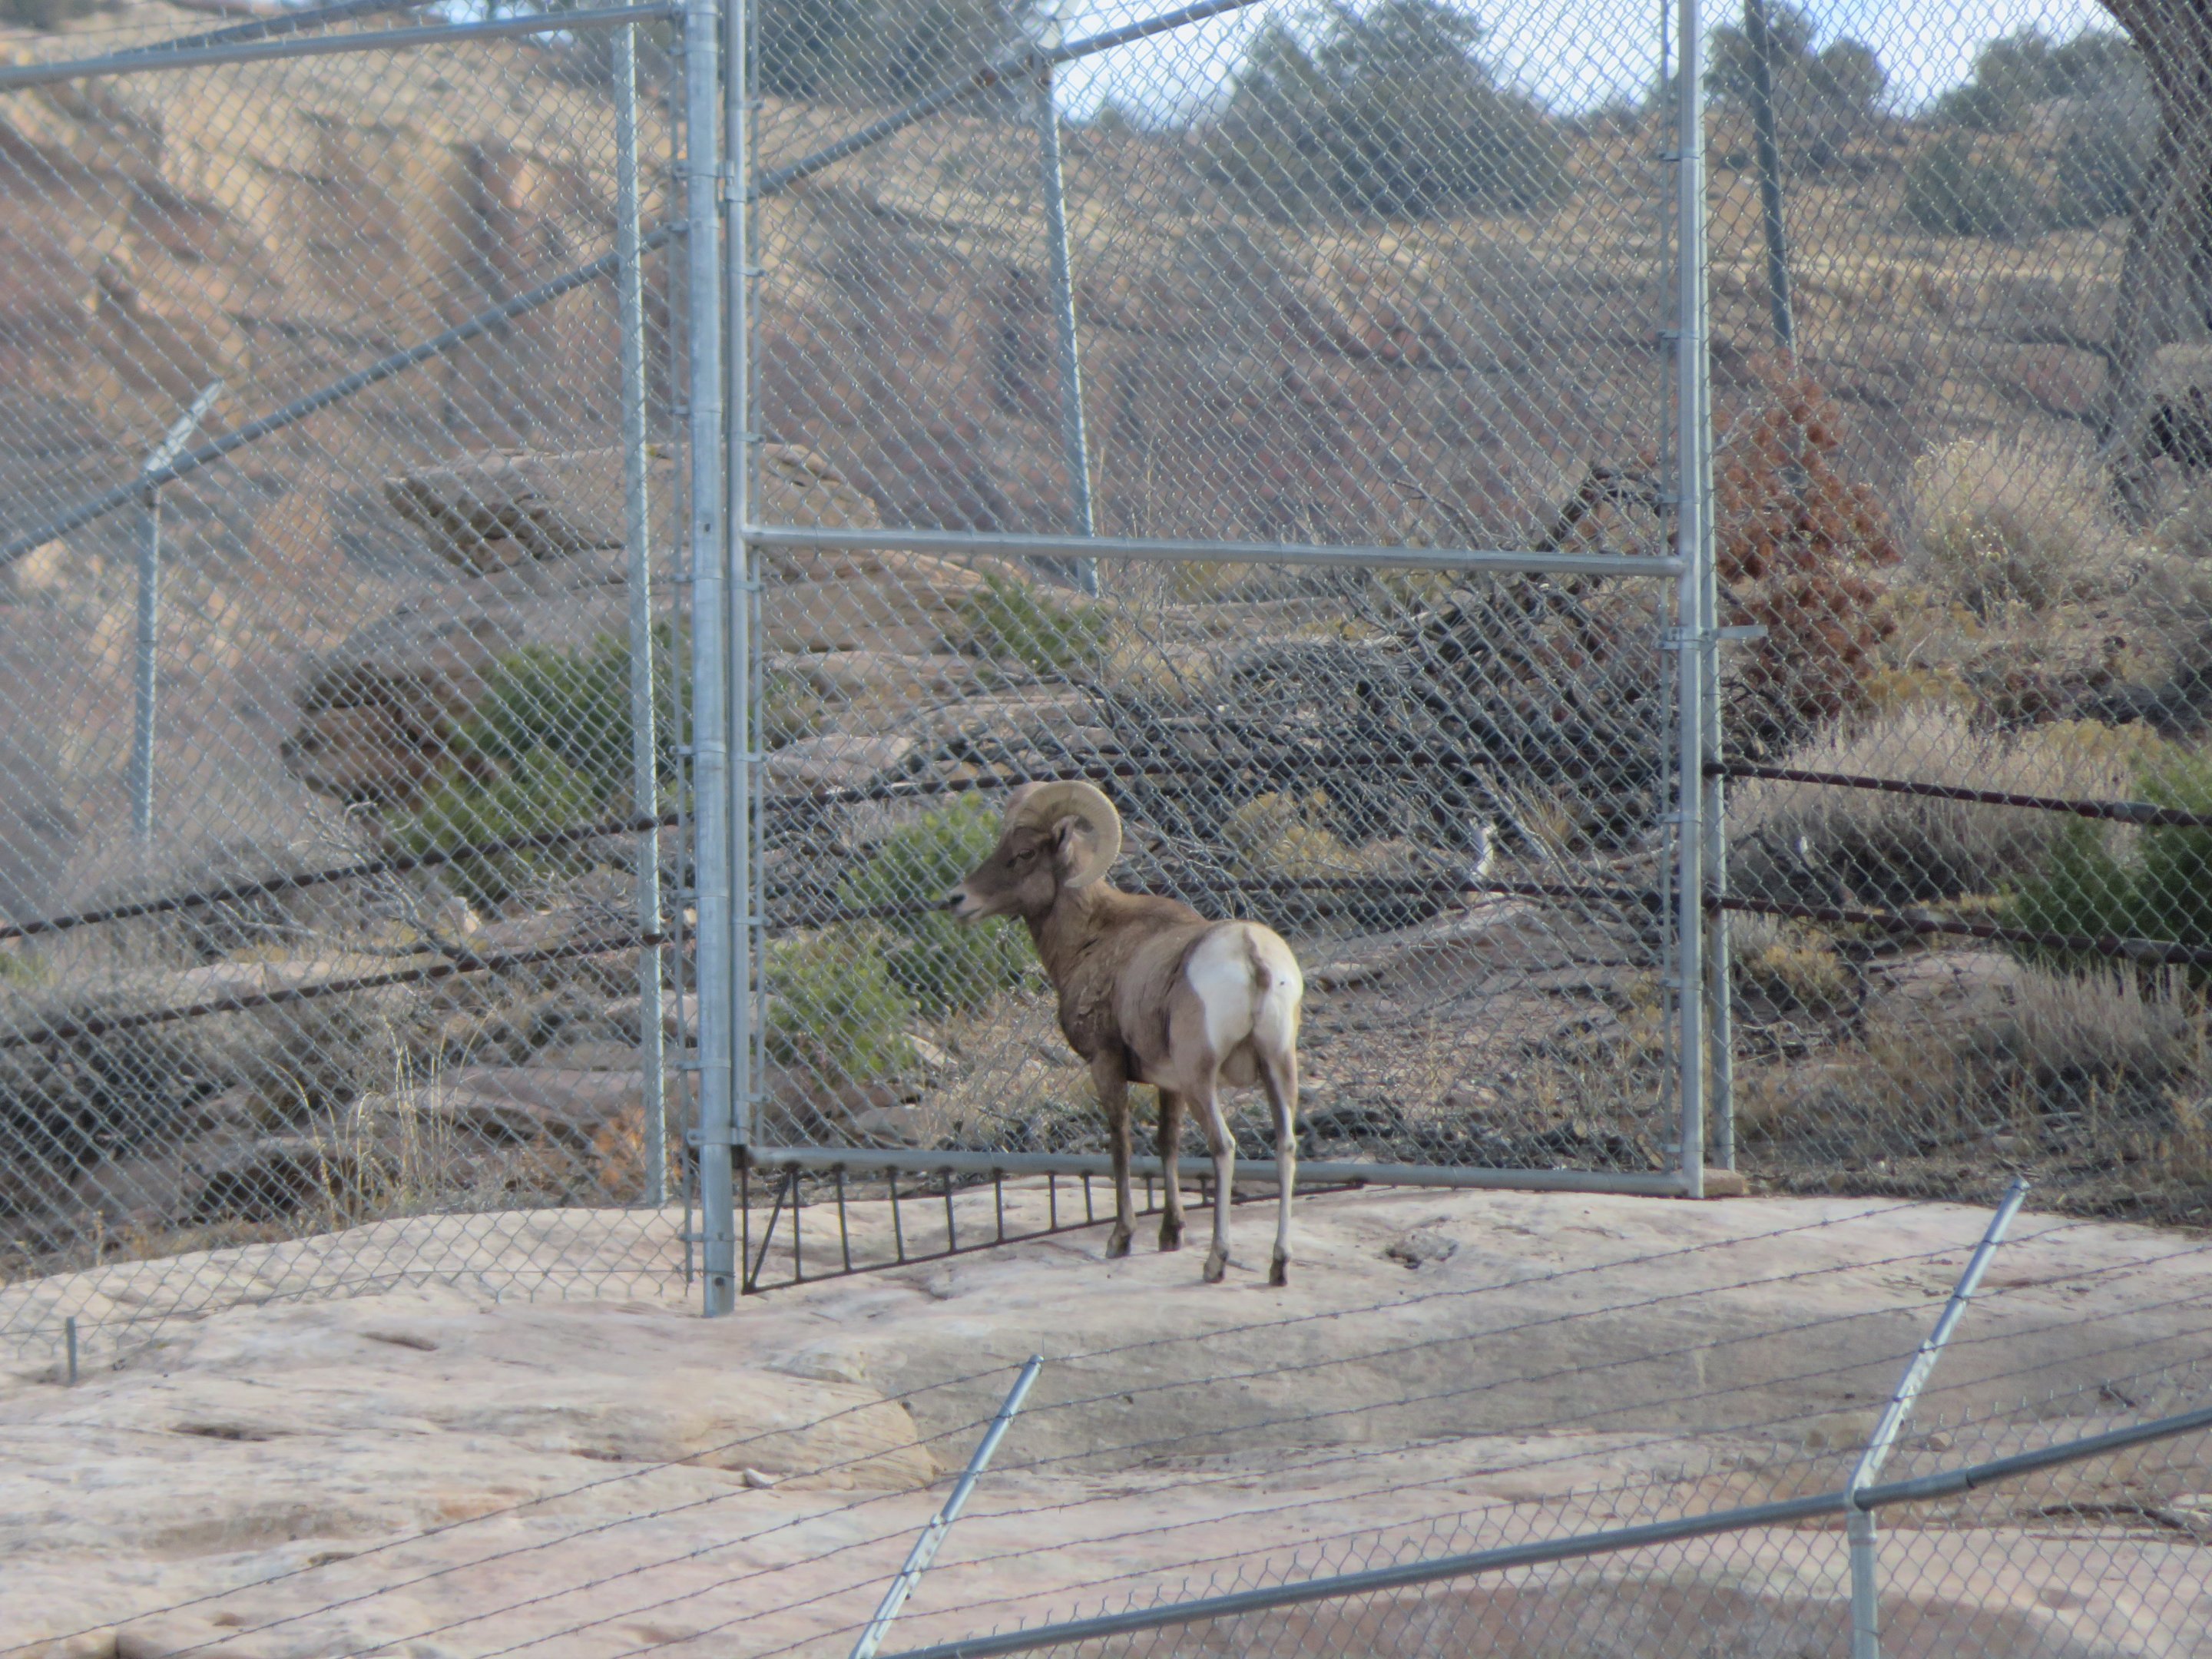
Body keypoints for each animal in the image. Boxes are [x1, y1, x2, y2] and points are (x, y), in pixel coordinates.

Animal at [946, 782, 1305, 1285]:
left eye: (1024, 853)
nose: (958, 900)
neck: (1092, 938)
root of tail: (1252, 955)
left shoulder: (1107, 1064)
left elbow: (1121, 1145)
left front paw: (1122, 1239)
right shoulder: (1168, 1085)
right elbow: (1167, 1145)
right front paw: (1170, 1234)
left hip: (1202, 1077)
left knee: (1224, 1146)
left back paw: (1216, 1261)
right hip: (1278, 1066)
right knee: (1286, 1146)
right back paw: (1279, 1265)